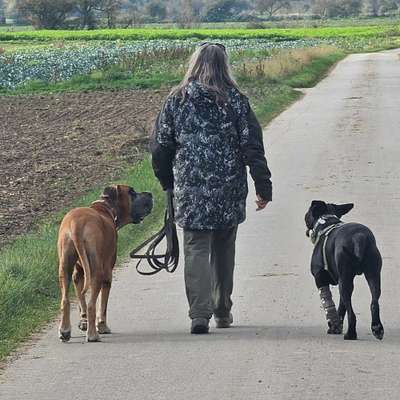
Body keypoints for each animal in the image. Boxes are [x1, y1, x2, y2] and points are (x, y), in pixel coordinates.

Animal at [57, 183, 153, 342]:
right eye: (132, 192)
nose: (150, 194)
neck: (106, 208)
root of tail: (77, 224)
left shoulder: (79, 272)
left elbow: (81, 298)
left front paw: (83, 321)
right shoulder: (107, 273)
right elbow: (103, 305)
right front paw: (102, 325)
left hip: (65, 266)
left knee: (66, 300)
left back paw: (64, 331)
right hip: (97, 271)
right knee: (92, 304)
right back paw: (93, 335)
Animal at [304, 200, 382, 340]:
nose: (304, 216)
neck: (326, 223)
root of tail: (359, 238)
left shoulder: (320, 279)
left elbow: (329, 305)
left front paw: (334, 326)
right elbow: (341, 307)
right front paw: (337, 326)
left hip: (345, 281)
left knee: (352, 314)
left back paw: (350, 334)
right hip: (373, 275)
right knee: (374, 303)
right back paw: (377, 328)